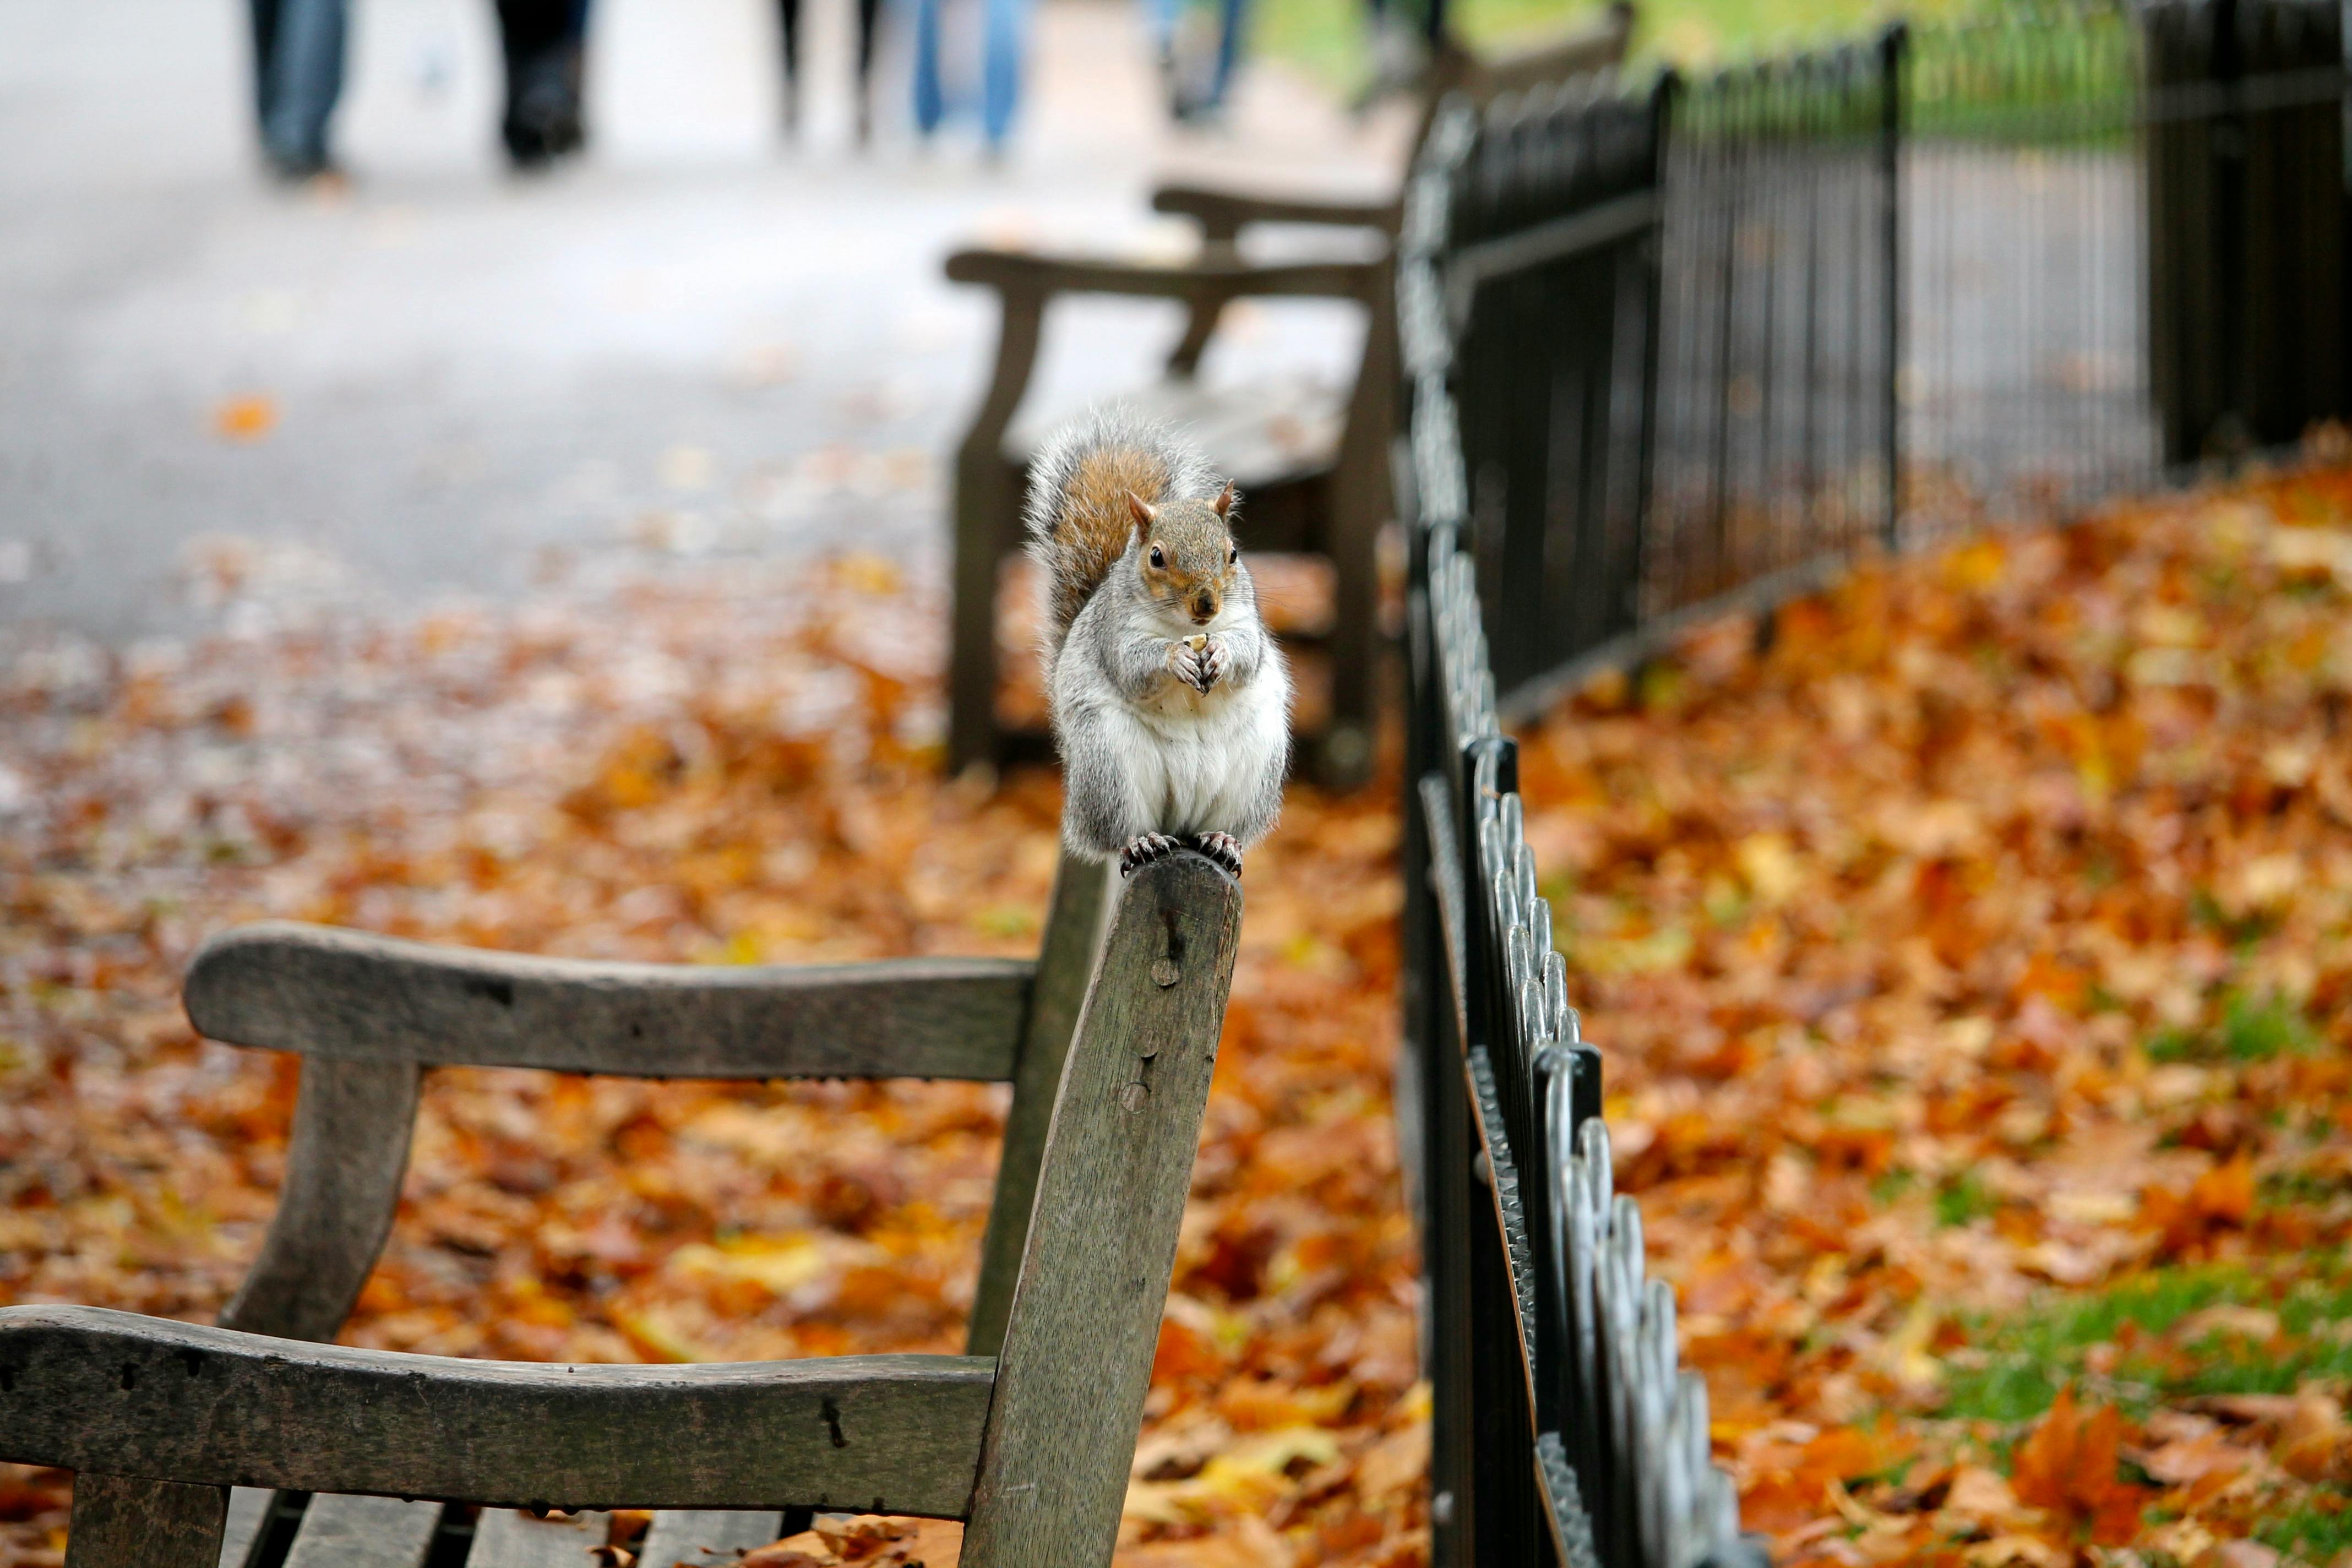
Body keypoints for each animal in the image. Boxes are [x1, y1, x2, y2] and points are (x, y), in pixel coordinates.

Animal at [1026, 407, 1291, 879]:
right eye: (1156, 557)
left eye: (1233, 554)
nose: (1206, 604)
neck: (1182, 627)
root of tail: (1181, 821)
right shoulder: (1115, 634)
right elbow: (1133, 667)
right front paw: (1175, 660)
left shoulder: (1247, 623)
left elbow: (1247, 654)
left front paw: (1221, 653)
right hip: (1107, 764)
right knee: (1117, 832)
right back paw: (1142, 842)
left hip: (1257, 766)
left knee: (1229, 823)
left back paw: (1223, 840)